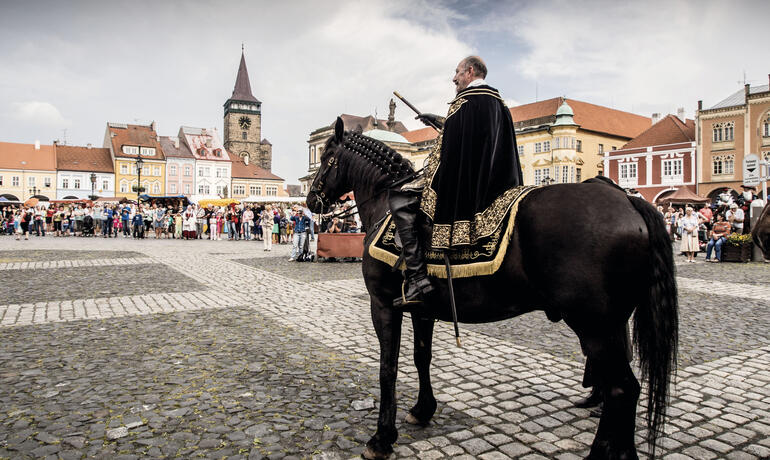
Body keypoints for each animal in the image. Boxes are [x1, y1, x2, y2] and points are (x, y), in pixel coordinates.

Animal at [308, 117, 680, 458]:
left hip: (595, 325)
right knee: (624, 387)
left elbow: (388, 368)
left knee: (622, 389)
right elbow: (421, 357)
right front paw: (423, 410)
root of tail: (628, 201)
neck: (386, 205)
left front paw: (382, 438)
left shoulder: (384, 304)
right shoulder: (421, 309)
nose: (312, 200)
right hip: (612, 324)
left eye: (327, 157)